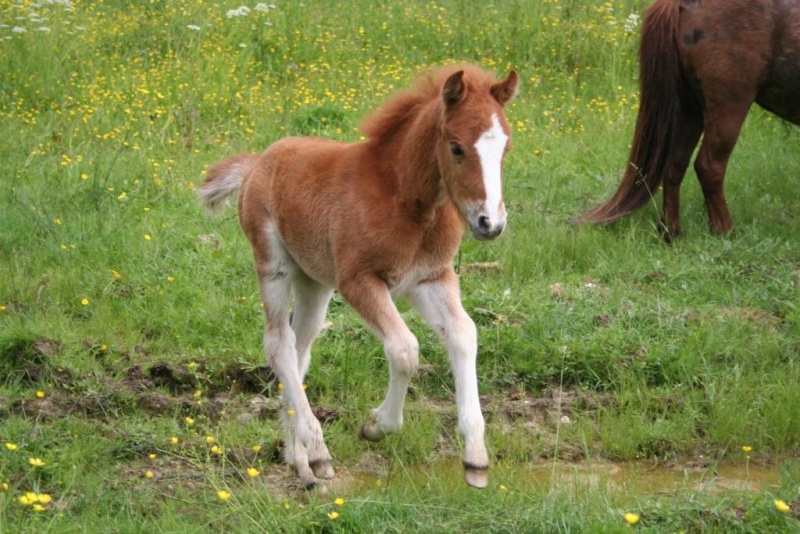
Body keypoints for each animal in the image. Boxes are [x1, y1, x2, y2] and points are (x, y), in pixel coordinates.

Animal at [580, 0, 796, 239]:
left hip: (690, 108)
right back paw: (723, 230)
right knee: (709, 166)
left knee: (675, 166)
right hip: (728, 106)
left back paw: (670, 232)